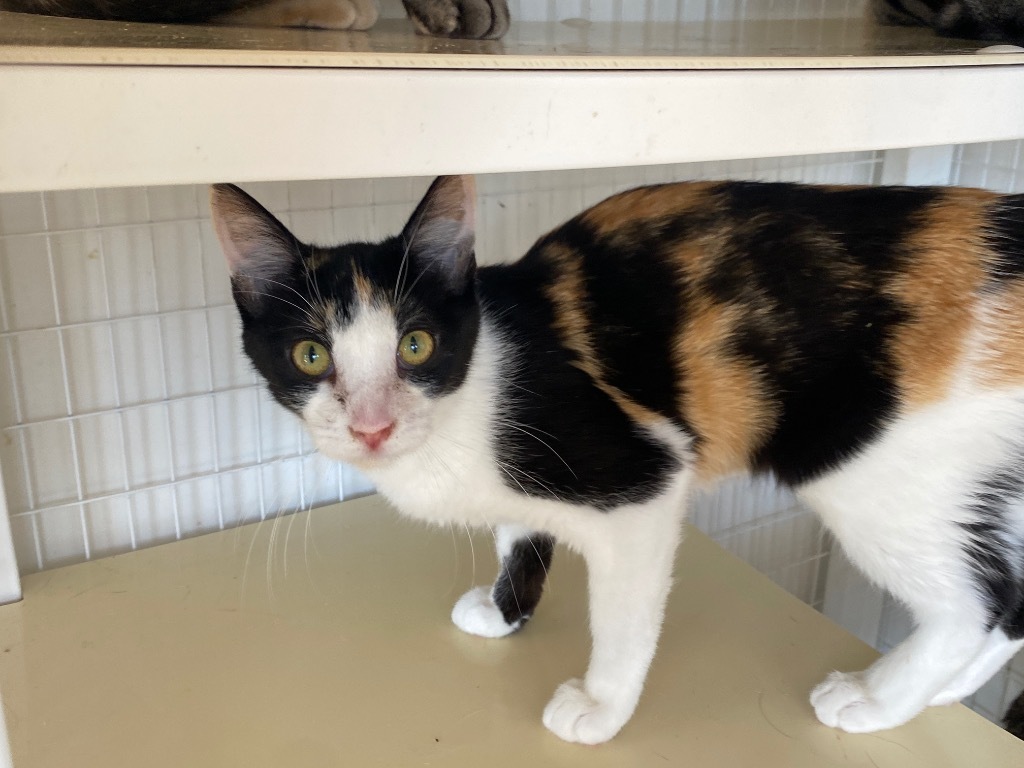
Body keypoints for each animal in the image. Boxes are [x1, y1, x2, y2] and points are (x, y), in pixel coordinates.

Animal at [211, 176, 1024, 745]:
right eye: (310, 355)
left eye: (416, 344)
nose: (372, 426)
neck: (476, 383)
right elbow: (519, 534)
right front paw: (505, 612)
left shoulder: (641, 479)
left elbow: (624, 619)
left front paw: (601, 708)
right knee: (1012, 597)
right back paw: (941, 692)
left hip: (868, 470)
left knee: (974, 603)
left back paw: (877, 699)